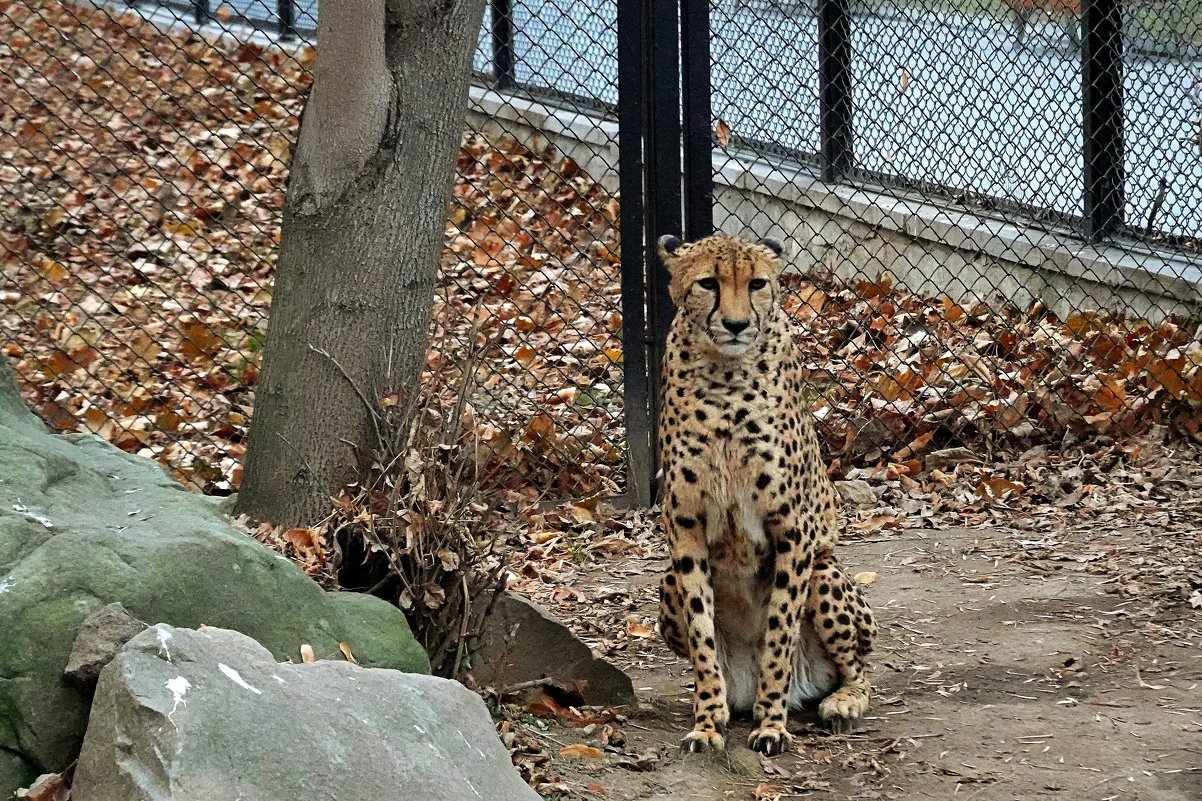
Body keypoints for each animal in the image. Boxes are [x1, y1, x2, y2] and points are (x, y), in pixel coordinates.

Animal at [653, 232, 879, 755]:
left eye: (757, 283)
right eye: (708, 283)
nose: (736, 324)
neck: (725, 376)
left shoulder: (792, 531)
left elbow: (778, 633)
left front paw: (772, 722)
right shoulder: (686, 527)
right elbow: (702, 636)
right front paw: (707, 722)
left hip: (825, 572)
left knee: (860, 672)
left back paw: (838, 702)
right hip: (667, 583)